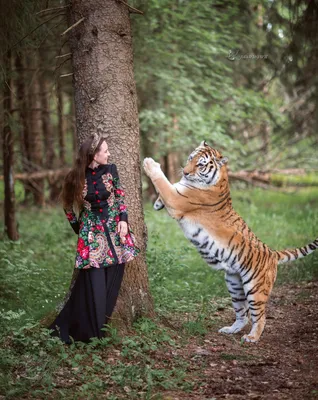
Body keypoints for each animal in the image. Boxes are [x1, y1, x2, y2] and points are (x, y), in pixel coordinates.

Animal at [143, 141, 318, 344]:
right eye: (190, 158)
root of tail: (273, 253)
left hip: (255, 289)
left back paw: (252, 337)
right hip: (234, 284)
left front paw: (149, 163)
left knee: (260, 316)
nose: (185, 172)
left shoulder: (176, 199)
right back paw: (230, 329)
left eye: (200, 164)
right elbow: (168, 186)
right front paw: (157, 203)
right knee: (243, 314)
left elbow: (163, 182)